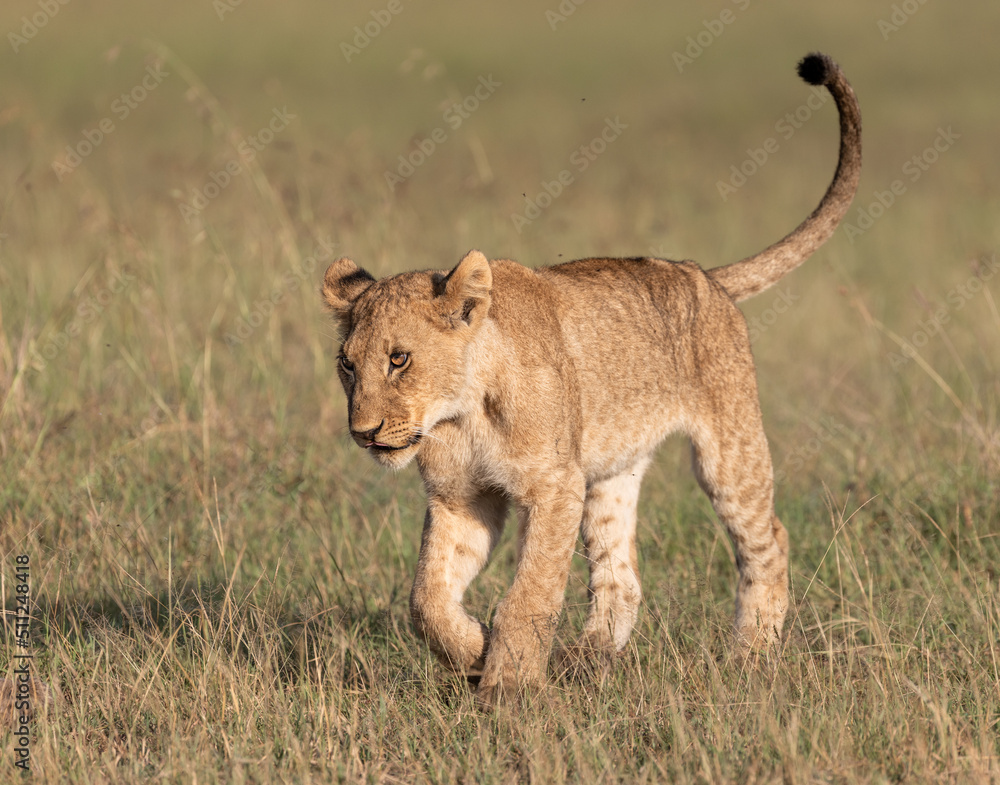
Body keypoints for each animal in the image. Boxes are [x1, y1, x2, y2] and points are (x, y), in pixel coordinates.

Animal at [322, 53, 861, 706]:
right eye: (348, 364)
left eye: (399, 359)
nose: (364, 432)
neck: (461, 414)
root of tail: (703, 274)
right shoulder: (461, 497)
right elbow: (426, 598)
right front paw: (473, 654)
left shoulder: (556, 486)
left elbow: (529, 594)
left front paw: (507, 689)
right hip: (611, 472)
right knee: (620, 578)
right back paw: (585, 663)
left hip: (729, 452)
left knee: (769, 542)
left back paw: (750, 658)